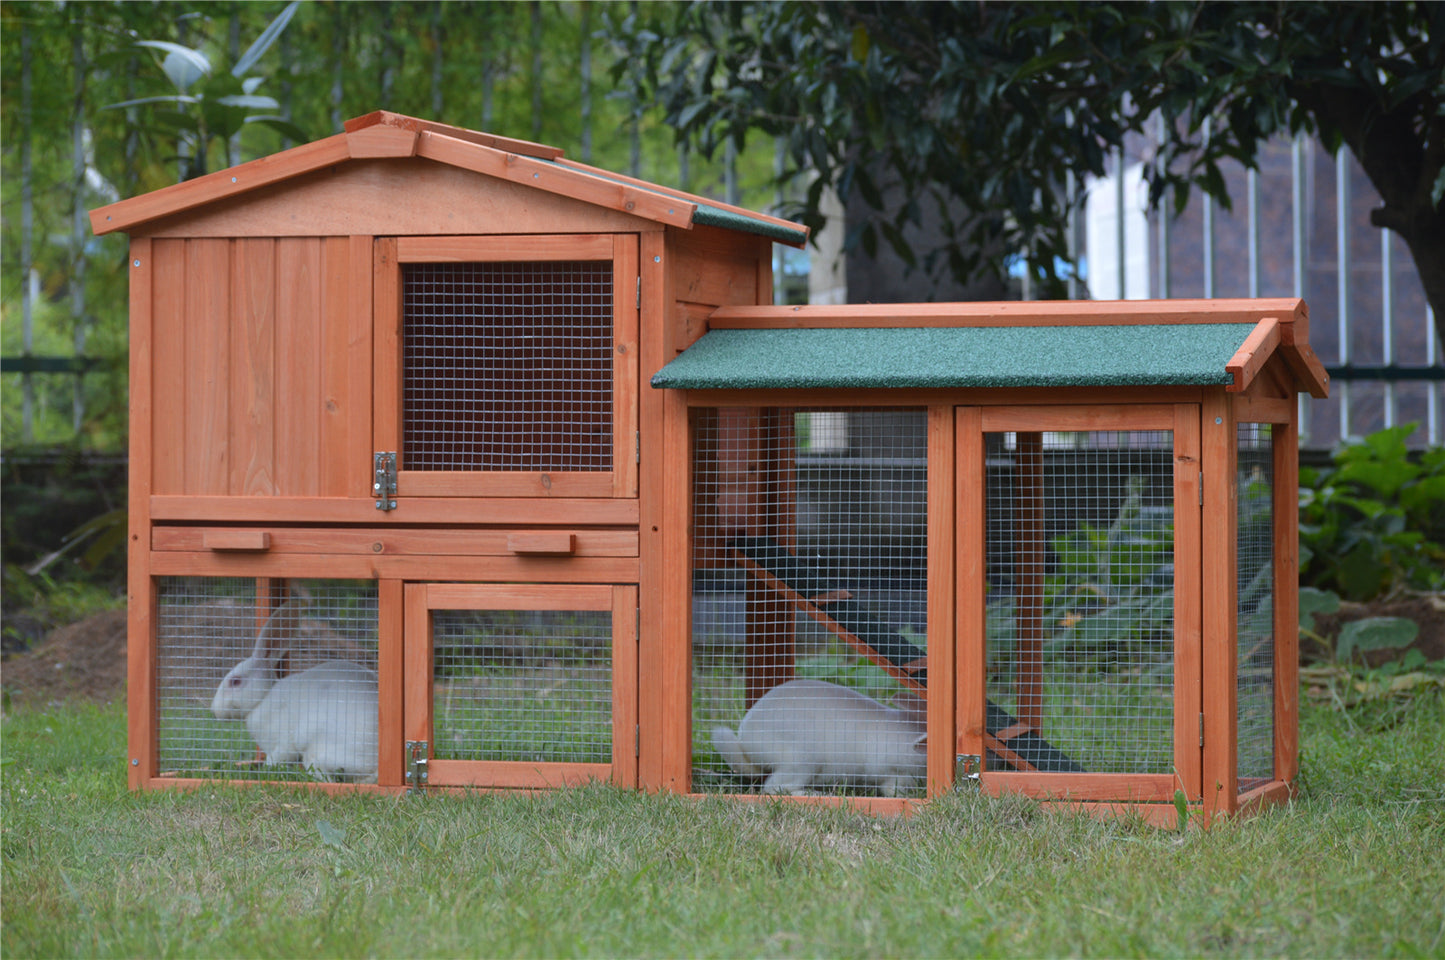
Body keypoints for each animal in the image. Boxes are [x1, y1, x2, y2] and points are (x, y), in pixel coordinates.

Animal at [210, 597, 379, 783]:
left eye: (235, 681)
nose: (215, 711)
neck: (263, 699)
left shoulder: (283, 742)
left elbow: (276, 758)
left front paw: (269, 769)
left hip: (317, 752)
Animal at [711, 679, 928, 797]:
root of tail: (745, 743)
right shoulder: (893, 772)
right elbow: (892, 790)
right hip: (802, 761)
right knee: (774, 788)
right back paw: (813, 793)